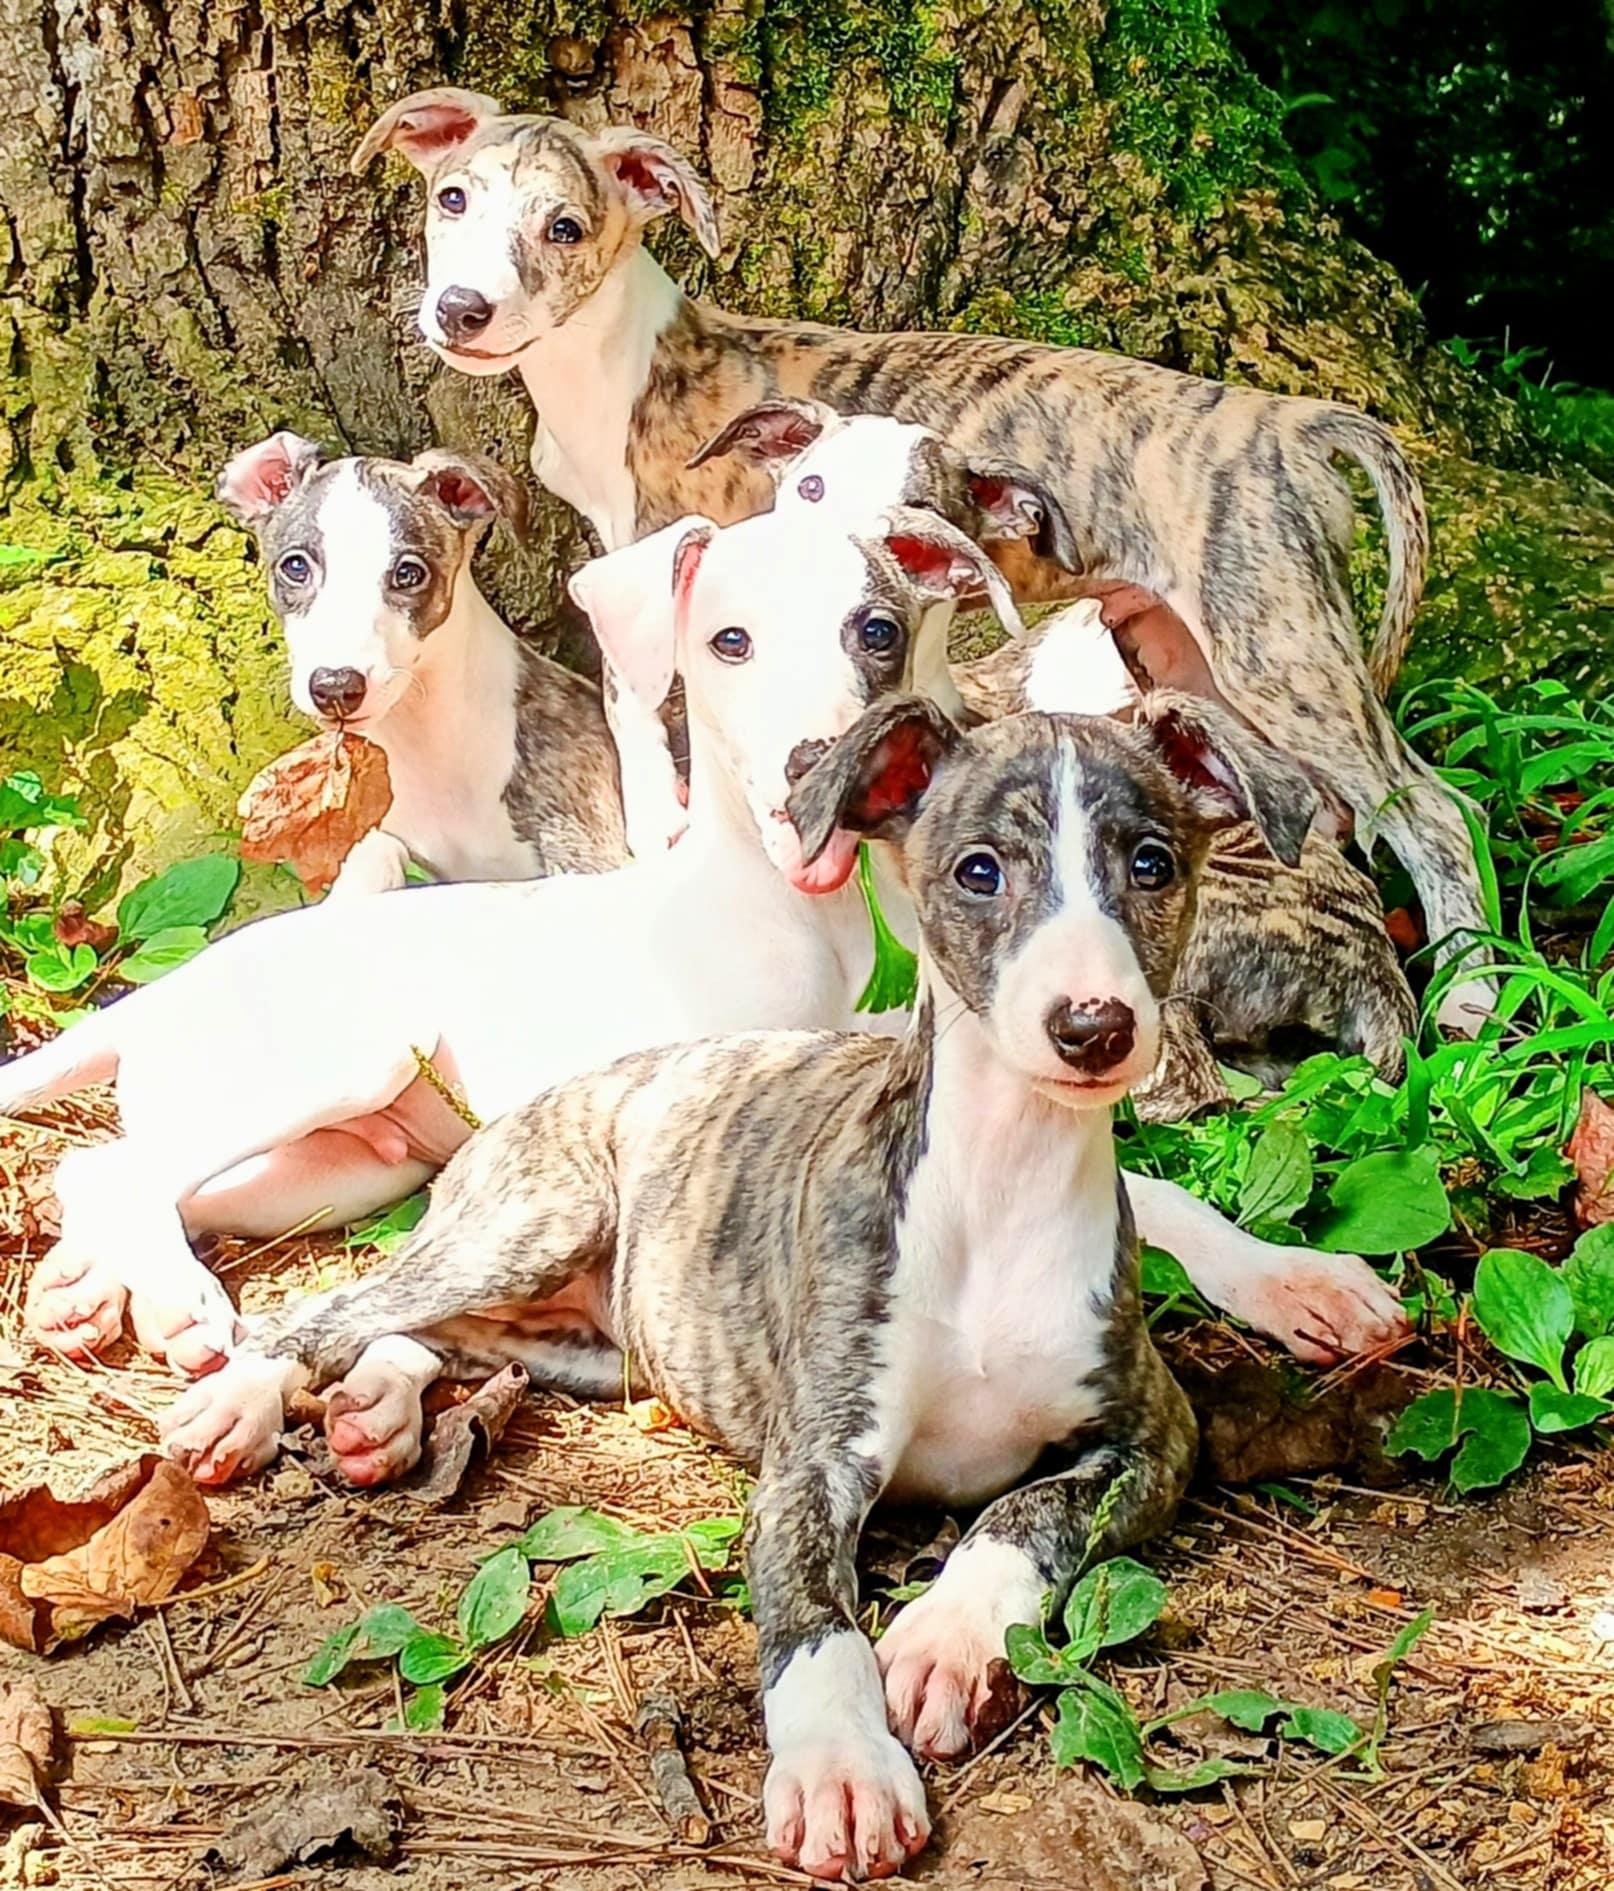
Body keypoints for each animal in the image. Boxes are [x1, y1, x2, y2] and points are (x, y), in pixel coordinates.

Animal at [5, 504, 1405, 1381]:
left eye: (876, 630)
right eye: (725, 642)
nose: (810, 766)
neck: (832, 931)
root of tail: (187, 977)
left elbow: (1159, 1192)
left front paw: (1292, 1278)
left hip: (342, 1165)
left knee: (100, 1176)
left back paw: (91, 1285)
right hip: (340, 1061)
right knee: (116, 1169)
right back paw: (177, 1300)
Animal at [157, 691, 1323, 1878]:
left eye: (1150, 862)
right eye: (980, 870)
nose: (1092, 1027)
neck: (1002, 1183)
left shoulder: (1155, 1434)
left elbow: (1026, 1511)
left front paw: (947, 1642)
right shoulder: (812, 1465)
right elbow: (812, 1620)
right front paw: (843, 1766)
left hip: (585, 1345)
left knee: (431, 1336)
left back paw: (376, 1411)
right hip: (531, 1220)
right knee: (333, 1310)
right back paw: (241, 1400)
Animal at [351, 89, 1488, 1030]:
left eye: (566, 227)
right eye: (451, 198)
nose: (460, 312)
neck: (630, 366)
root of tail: (1293, 420)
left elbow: (636, 726)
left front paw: (654, 844)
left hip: (1279, 648)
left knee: (1438, 810)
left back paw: (1473, 1001)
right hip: (1196, 657)